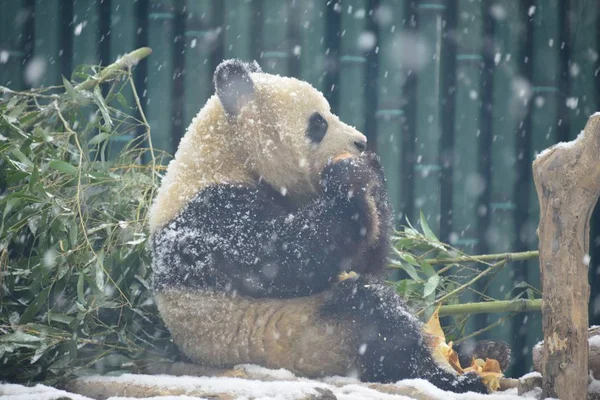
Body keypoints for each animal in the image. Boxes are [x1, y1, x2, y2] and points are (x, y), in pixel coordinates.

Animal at [150, 59, 502, 394]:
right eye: (318, 123)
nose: (361, 142)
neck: (226, 156)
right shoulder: (213, 217)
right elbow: (288, 260)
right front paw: (346, 179)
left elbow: (363, 258)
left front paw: (369, 173)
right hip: (299, 338)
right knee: (376, 320)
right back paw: (454, 379)